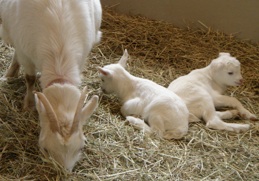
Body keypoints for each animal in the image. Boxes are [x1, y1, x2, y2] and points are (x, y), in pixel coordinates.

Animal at [0, 0, 101, 170]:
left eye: (82, 147)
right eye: (45, 149)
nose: (64, 172)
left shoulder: (81, 60)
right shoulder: (25, 53)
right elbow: (30, 77)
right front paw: (28, 104)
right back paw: (10, 73)